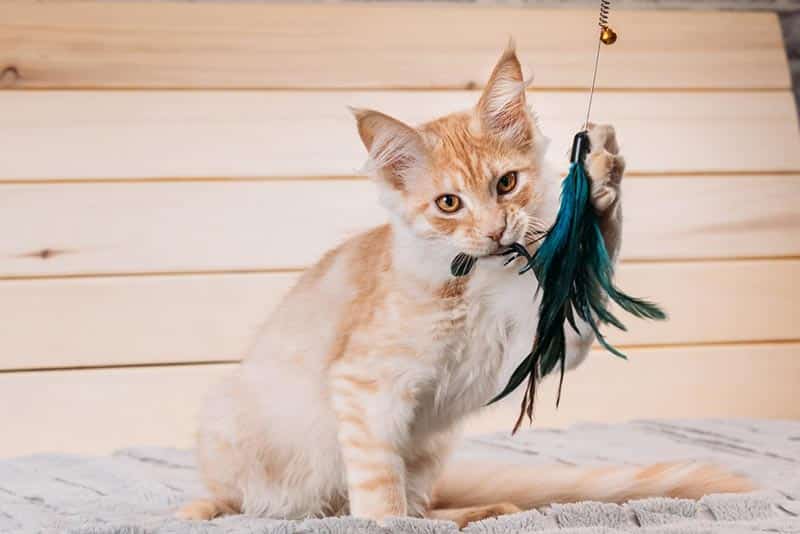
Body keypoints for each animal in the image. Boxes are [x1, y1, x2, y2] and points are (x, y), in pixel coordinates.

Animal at [178, 44, 752, 528]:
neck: (477, 285)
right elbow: (379, 488)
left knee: (428, 508)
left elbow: (586, 281)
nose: (496, 231)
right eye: (449, 203)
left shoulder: (539, 346)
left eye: (507, 183)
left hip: (430, 453)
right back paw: (200, 509)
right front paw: (384, 524)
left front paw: (599, 183)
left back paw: (482, 511)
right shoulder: (367, 387)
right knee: (241, 500)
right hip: (234, 423)